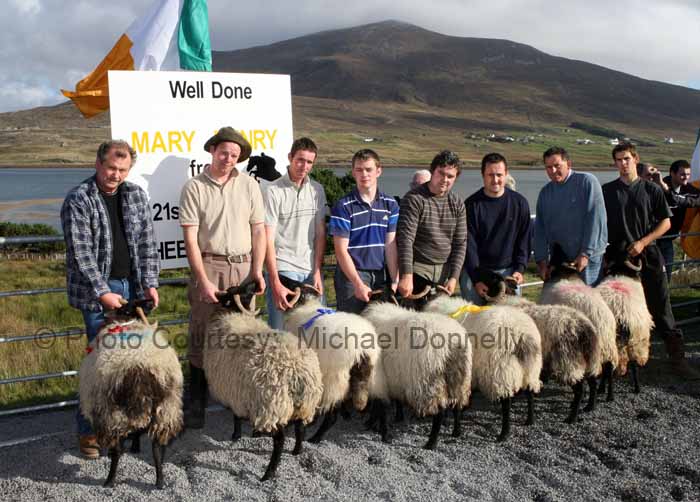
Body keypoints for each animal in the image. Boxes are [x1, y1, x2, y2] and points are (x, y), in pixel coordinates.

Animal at [78, 300, 183, 488]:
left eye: (123, 307)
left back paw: (109, 480)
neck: (127, 320)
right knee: (157, 448)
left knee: (117, 450)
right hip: (166, 410)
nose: (150, 301)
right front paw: (136, 445)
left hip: (111, 414)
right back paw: (160, 481)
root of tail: (140, 371)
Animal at [202, 280, 322, 480]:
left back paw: (268, 473)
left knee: (280, 440)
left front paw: (237, 434)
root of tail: (296, 371)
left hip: (273, 403)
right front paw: (254, 432)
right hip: (303, 403)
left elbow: (236, 416)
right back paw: (297, 451)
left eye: (244, 291)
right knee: (300, 428)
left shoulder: (235, 392)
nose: (256, 282)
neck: (233, 315)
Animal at [278, 274, 392, 444]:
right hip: (375, 375)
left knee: (332, 414)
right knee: (381, 405)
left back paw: (316, 437)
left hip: (336, 378)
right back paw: (385, 434)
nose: (278, 277)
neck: (303, 307)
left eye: (291, 284)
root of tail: (362, 350)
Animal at [422, 294, 540, 444]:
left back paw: (504, 434)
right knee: (530, 393)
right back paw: (530, 420)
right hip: (531, 368)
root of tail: (520, 333)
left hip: (502, 370)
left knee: (507, 402)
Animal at [596, 249, 656, 394]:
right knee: (623, 364)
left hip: (605, 340)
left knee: (607, 364)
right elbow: (633, 365)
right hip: (632, 339)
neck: (620, 271)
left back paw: (602, 388)